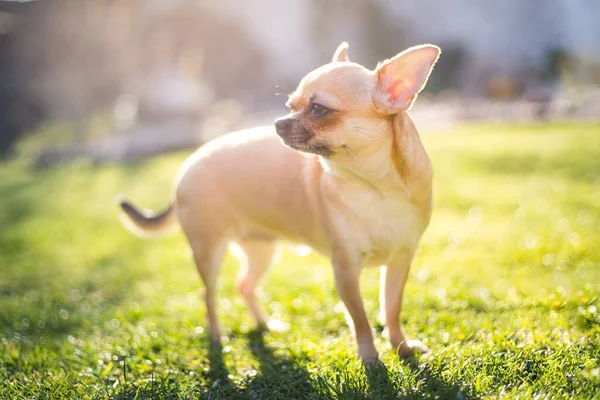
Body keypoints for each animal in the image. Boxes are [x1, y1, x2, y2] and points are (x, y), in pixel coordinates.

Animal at [119, 42, 440, 364]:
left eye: (318, 109)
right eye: (290, 106)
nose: (278, 123)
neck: (374, 187)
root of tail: (190, 162)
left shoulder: (400, 261)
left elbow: (391, 309)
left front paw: (402, 346)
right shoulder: (345, 268)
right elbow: (359, 318)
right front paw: (370, 357)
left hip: (262, 250)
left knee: (244, 285)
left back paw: (264, 324)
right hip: (208, 251)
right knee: (208, 295)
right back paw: (217, 337)